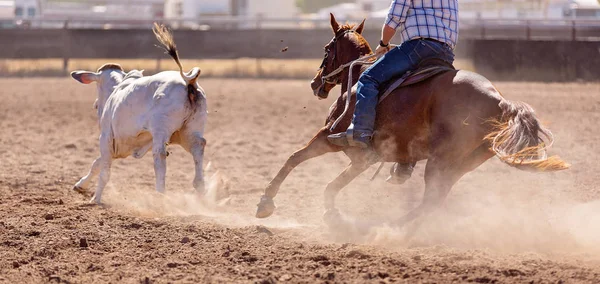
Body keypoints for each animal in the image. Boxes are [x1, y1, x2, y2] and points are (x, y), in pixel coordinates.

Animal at [69, 23, 206, 203]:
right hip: (190, 131)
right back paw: (200, 189)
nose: (96, 104)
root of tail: (188, 81)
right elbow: (96, 163)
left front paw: (96, 199)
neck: (116, 89)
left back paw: (160, 194)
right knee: (198, 148)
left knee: (160, 156)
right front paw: (80, 185)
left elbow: (104, 170)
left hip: (161, 130)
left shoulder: (106, 138)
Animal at [255, 14, 568, 229]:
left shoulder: (339, 142)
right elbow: (324, 177)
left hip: (441, 160)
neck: (357, 80)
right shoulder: (365, 158)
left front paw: (267, 203)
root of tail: (499, 101)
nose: (314, 83)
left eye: (326, 48)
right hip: (462, 163)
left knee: (431, 200)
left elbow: (298, 161)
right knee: (435, 200)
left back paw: (389, 228)